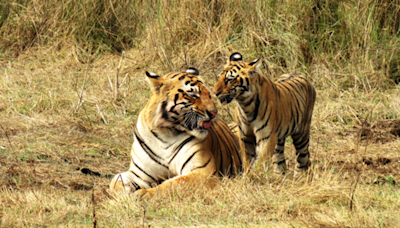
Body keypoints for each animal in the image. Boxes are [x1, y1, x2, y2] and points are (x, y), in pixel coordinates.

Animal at [109, 67, 244, 197]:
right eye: (194, 95)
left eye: (209, 95)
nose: (214, 113)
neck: (165, 133)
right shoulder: (140, 173)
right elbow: (116, 180)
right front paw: (124, 193)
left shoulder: (203, 170)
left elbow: (174, 183)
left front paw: (141, 194)